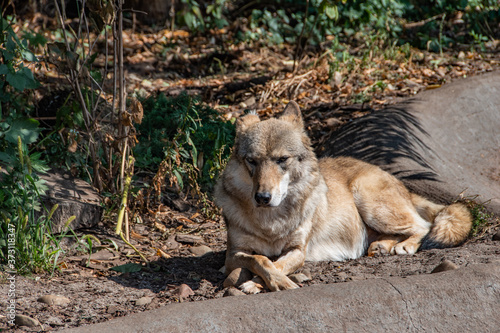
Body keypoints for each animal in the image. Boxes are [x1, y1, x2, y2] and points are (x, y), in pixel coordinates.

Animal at [213, 100, 470, 292]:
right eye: (252, 161)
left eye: (282, 160)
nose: (263, 197)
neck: (270, 222)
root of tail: (402, 185)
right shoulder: (233, 254)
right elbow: (261, 260)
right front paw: (268, 281)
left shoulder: (298, 250)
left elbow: (277, 264)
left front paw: (265, 283)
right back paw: (381, 246)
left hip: (369, 202)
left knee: (423, 225)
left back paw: (404, 246)